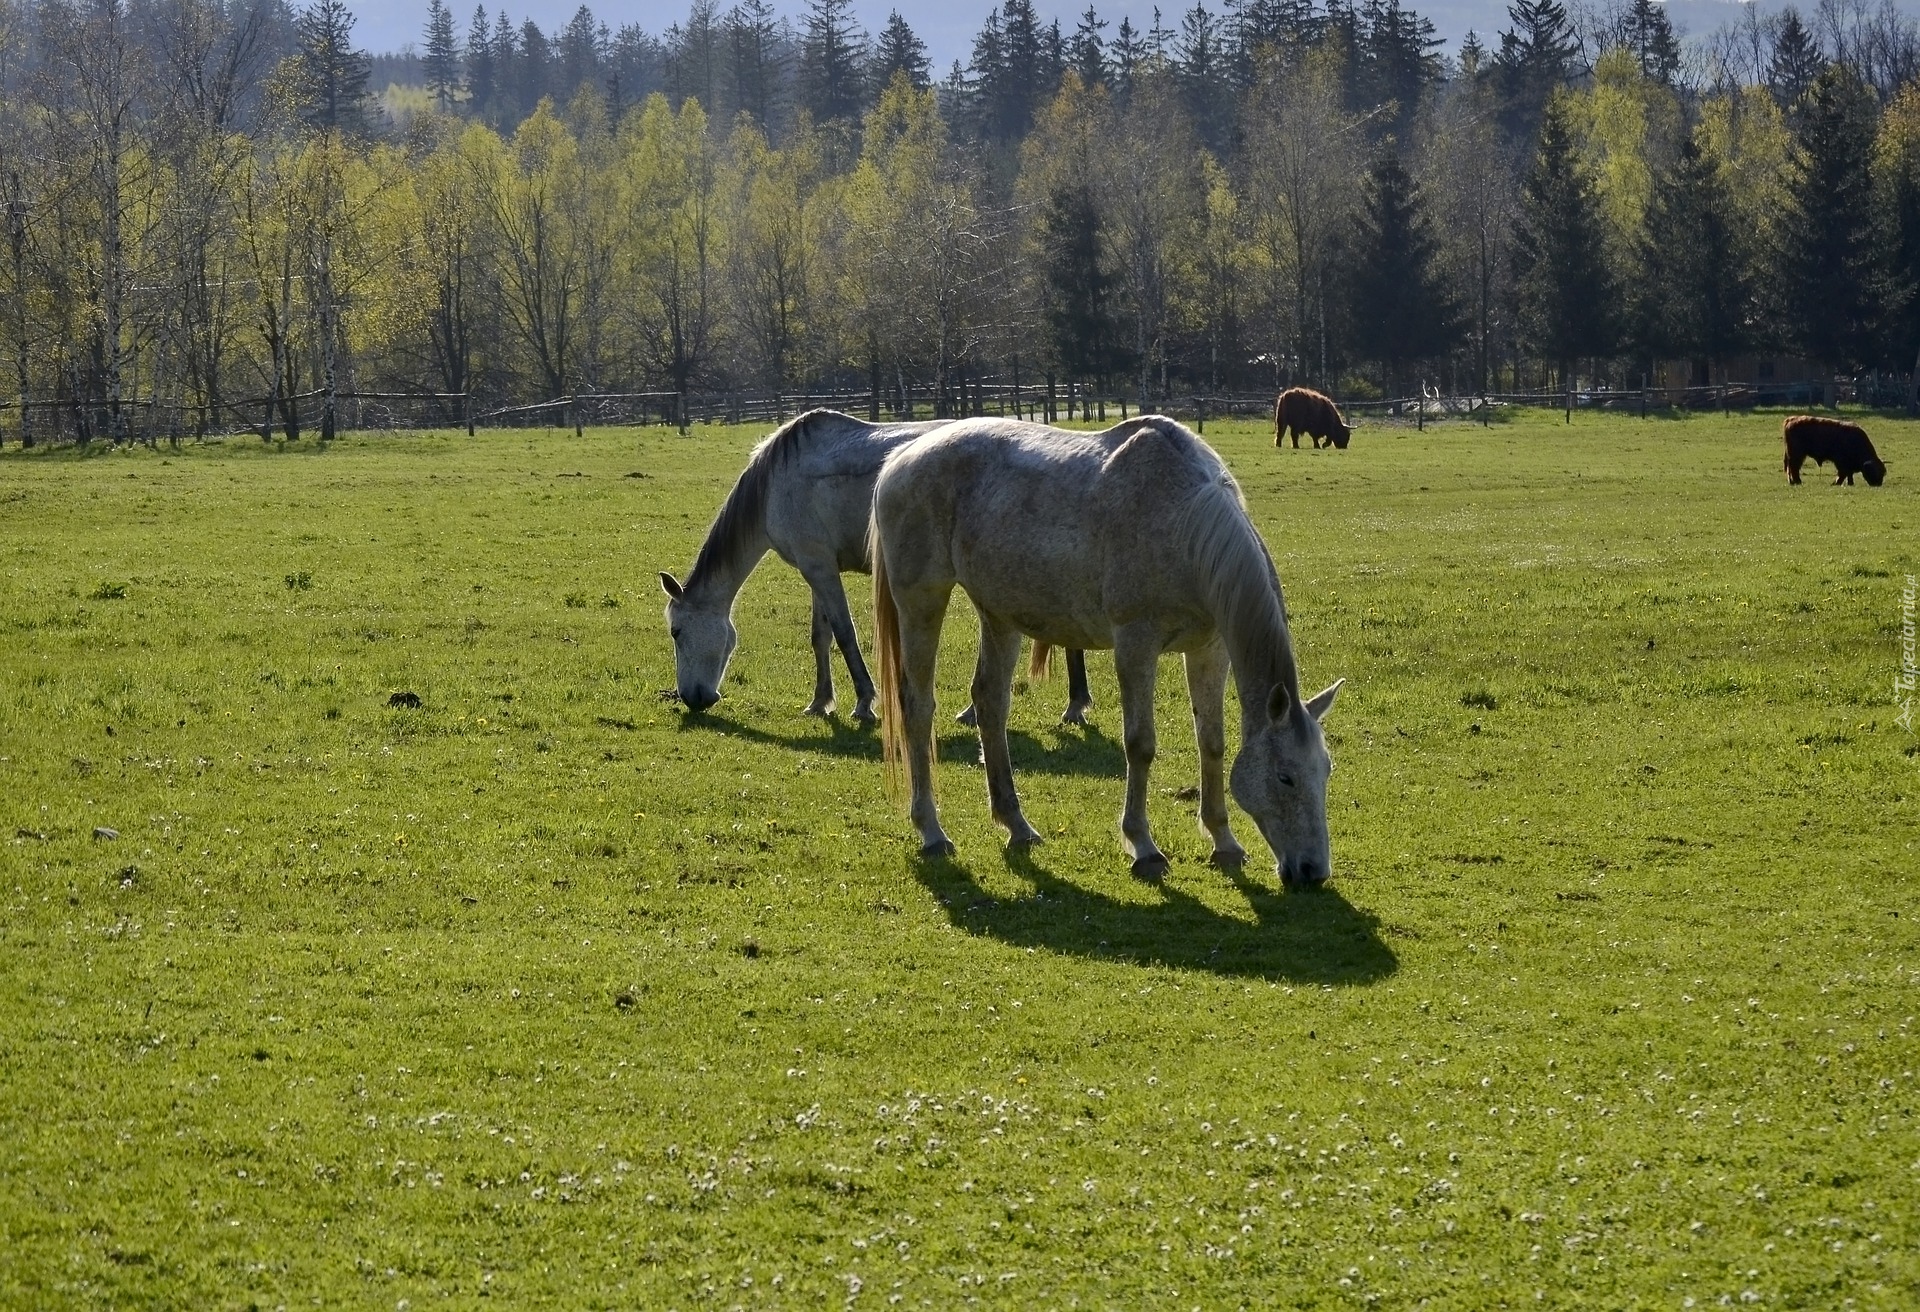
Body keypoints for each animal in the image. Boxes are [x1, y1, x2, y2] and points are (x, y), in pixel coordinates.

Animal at [656, 407, 1082, 722]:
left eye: (677, 632)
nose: (692, 698)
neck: (776, 482)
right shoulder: (817, 568)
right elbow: (821, 636)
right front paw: (820, 702)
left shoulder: (819, 568)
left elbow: (845, 634)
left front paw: (864, 702)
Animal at [875, 414, 1344, 887]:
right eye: (1285, 778)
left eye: (1325, 771)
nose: (1313, 871)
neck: (1183, 522)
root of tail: (900, 458)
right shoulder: (1135, 644)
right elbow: (1140, 744)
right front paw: (1144, 846)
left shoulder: (1210, 650)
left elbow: (1211, 741)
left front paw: (1224, 842)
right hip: (922, 601)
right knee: (918, 707)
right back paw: (932, 831)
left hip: (999, 615)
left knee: (990, 703)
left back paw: (1017, 826)